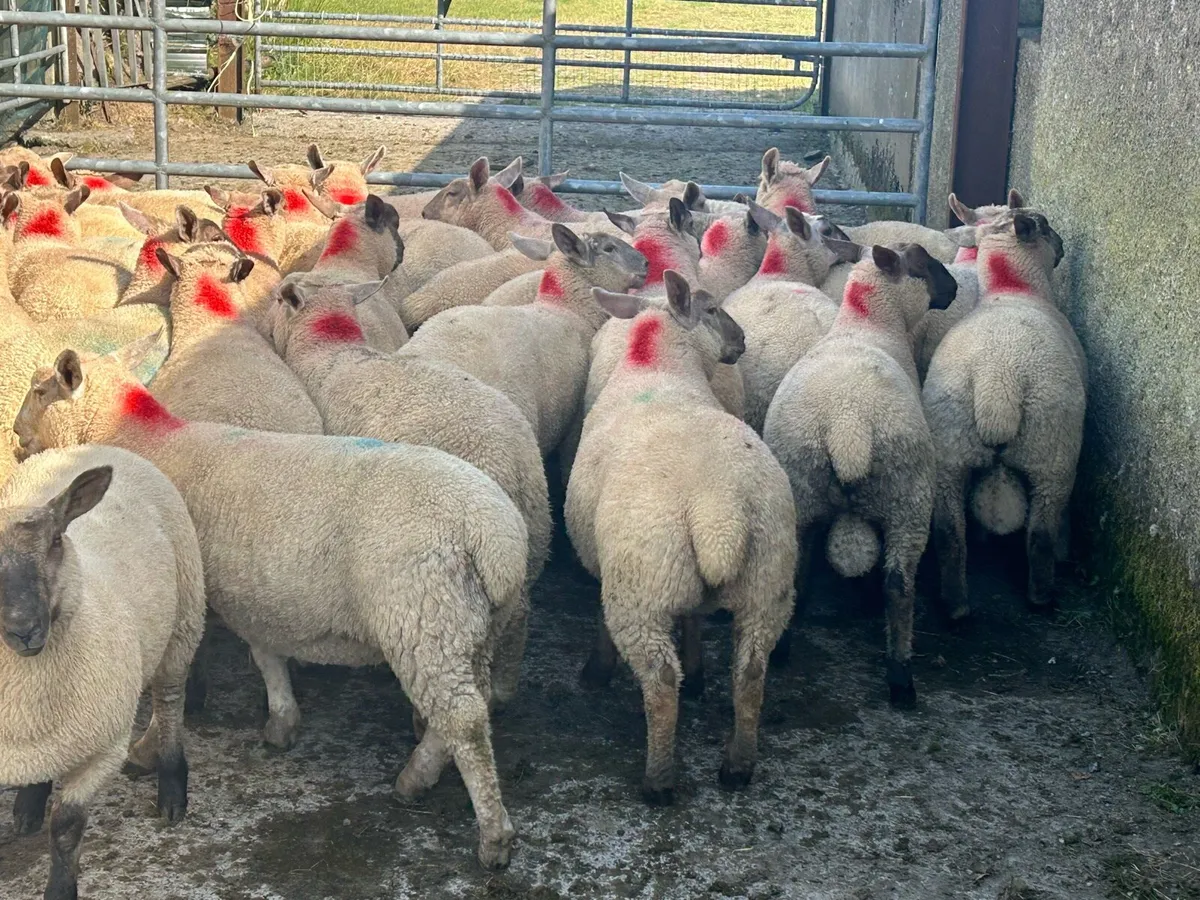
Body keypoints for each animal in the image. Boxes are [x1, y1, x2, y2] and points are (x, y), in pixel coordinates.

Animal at [0, 445, 205, 900]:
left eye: (56, 540)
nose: (25, 629)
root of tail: (101, 448)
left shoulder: (104, 749)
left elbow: (66, 829)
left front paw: (60, 890)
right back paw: (28, 807)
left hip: (182, 622)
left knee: (169, 701)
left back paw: (172, 789)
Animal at [15, 341, 529, 870]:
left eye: (40, 390)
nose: (15, 437)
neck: (146, 441)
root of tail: (495, 537)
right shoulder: (258, 594)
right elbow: (267, 655)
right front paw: (282, 721)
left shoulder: (184, 594)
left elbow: (171, 679)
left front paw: (149, 747)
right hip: (470, 626)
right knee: (472, 706)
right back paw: (421, 775)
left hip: (423, 618)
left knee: (464, 722)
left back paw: (489, 832)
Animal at [564, 270, 795, 803]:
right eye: (711, 310)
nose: (742, 341)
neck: (658, 368)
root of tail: (719, 513)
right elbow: (692, 617)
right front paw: (699, 673)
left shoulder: (615, 569)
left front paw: (597, 670)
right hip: (767, 579)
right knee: (751, 672)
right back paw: (737, 765)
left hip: (643, 586)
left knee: (660, 681)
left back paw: (659, 779)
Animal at [762, 245, 958, 704]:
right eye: (923, 264)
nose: (956, 288)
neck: (866, 323)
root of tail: (847, 425)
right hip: (908, 499)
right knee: (898, 584)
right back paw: (901, 677)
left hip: (799, 489)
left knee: (791, 571)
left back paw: (781, 650)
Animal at [922, 209, 1081, 619]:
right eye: (1044, 225)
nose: (1063, 245)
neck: (1011, 289)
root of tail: (998, 382)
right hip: (1051, 452)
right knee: (1040, 535)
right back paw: (1041, 597)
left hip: (950, 449)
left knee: (950, 532)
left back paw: (956, 606)